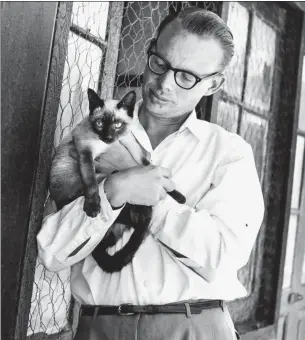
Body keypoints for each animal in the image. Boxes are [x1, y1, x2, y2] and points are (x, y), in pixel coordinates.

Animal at [49, 89, 185, 272]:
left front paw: (180, 197)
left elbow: (150, 166)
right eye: (100, 123)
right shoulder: (86, 154)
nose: (107, 137)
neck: (107, 145)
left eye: (118, 125)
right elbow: (91, 183)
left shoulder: (133, 149)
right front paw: (93, 208)